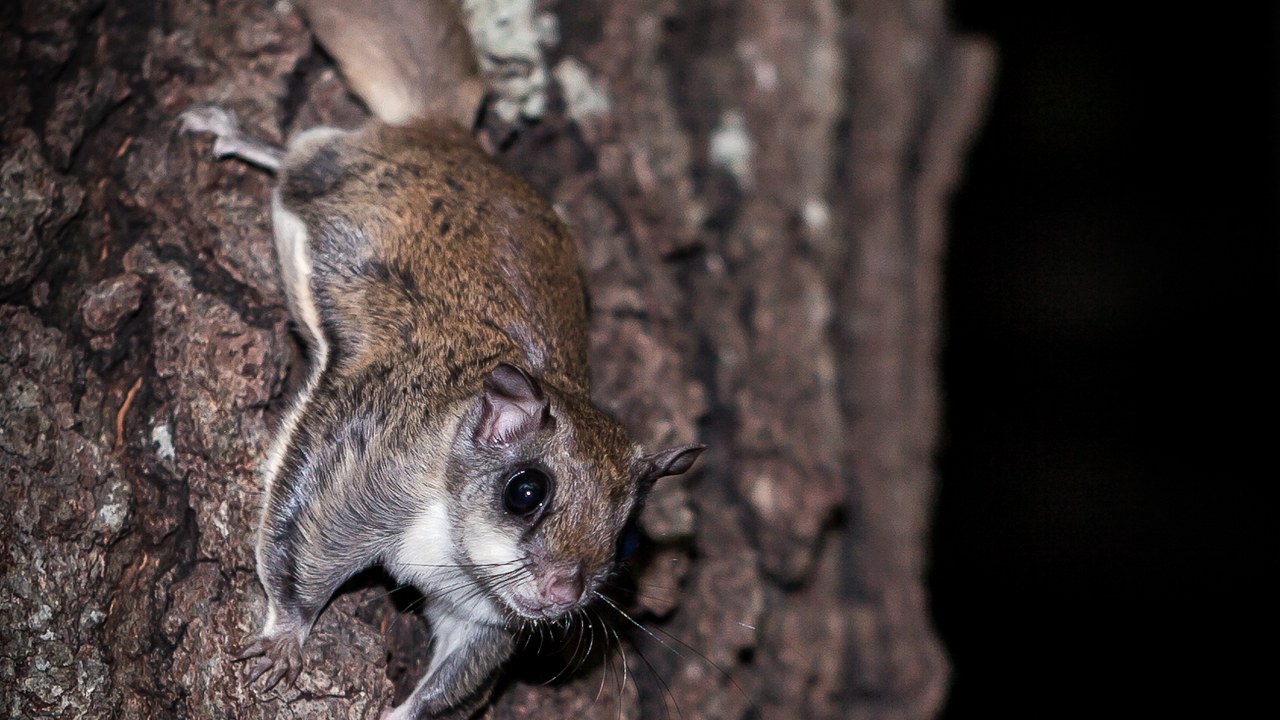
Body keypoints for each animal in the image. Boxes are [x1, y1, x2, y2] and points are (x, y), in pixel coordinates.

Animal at [180, 1, 703, 718]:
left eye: (627, 540)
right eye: (525, 491)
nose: (565, 595)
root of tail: (450, 133)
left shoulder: (484, 615)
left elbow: (455, 675)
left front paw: (401, 712)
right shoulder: (365, 464)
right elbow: (299, 547)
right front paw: (287, 636)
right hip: (334, 172)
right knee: (300, 151)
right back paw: (236, 133)